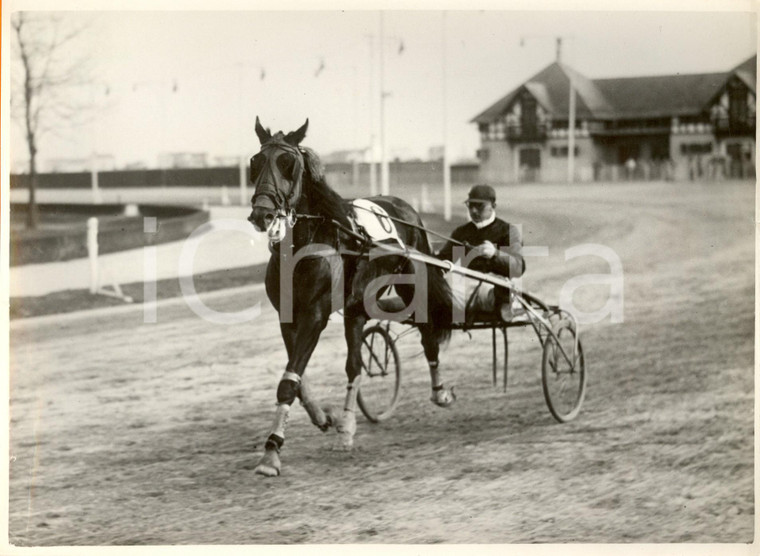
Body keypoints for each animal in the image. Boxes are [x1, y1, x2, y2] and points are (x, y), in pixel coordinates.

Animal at [246, 116, 454, 474]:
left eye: (288, 163)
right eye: (255, 162)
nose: (263, 214)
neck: (304, 245)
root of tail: (404, 207)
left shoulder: (315, 315)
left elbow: (288, 382)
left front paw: (271, 452)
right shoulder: (288, 316)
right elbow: (297, 377)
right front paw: (323, 417)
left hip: (412, 283)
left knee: (428, 332)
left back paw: (439, 391)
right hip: (356, 306)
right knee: (355, 365)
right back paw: (346, 427)